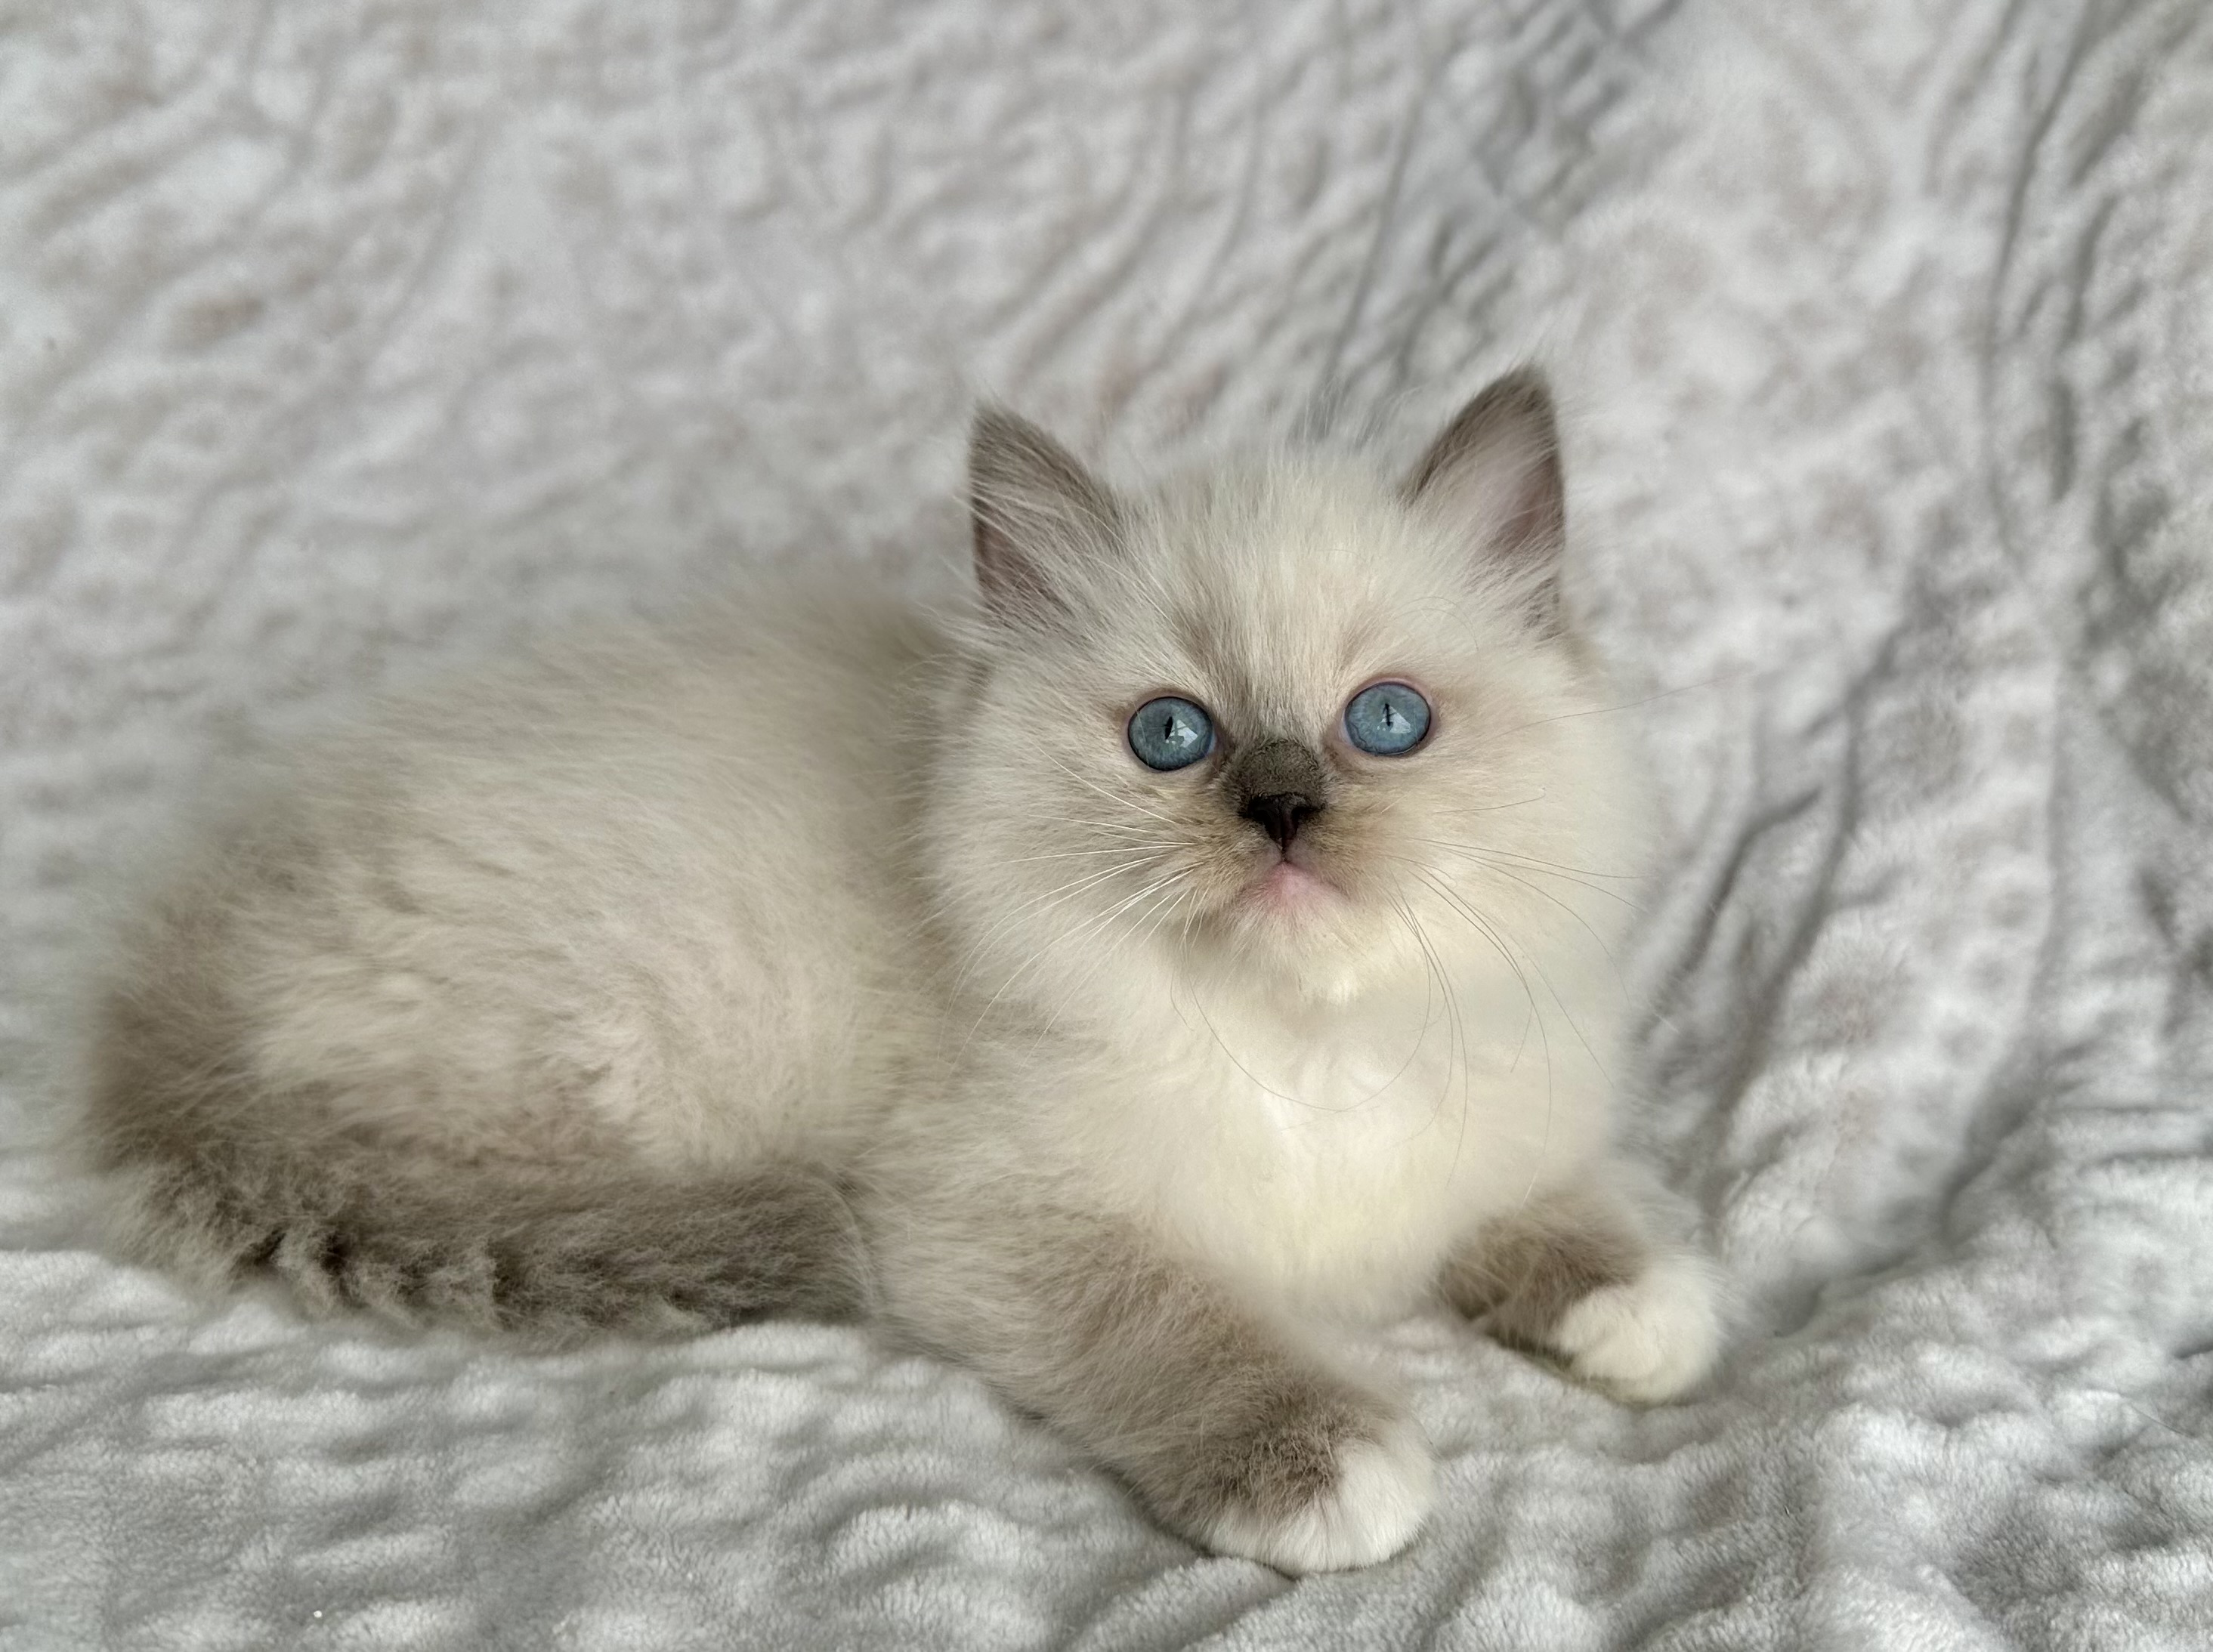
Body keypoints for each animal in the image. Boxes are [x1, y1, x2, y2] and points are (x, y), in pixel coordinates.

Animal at [86, 371, 1717, 1574]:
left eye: (1384, 721)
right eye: (1172, 737)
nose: (1278, 810)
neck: (1300, 1048)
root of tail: (162, 982)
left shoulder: (1480, 1118)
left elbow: (1557, 1209)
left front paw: (1637, 1306)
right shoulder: (994, 1216)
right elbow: (1178, 1319)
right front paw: (1325, 1460)